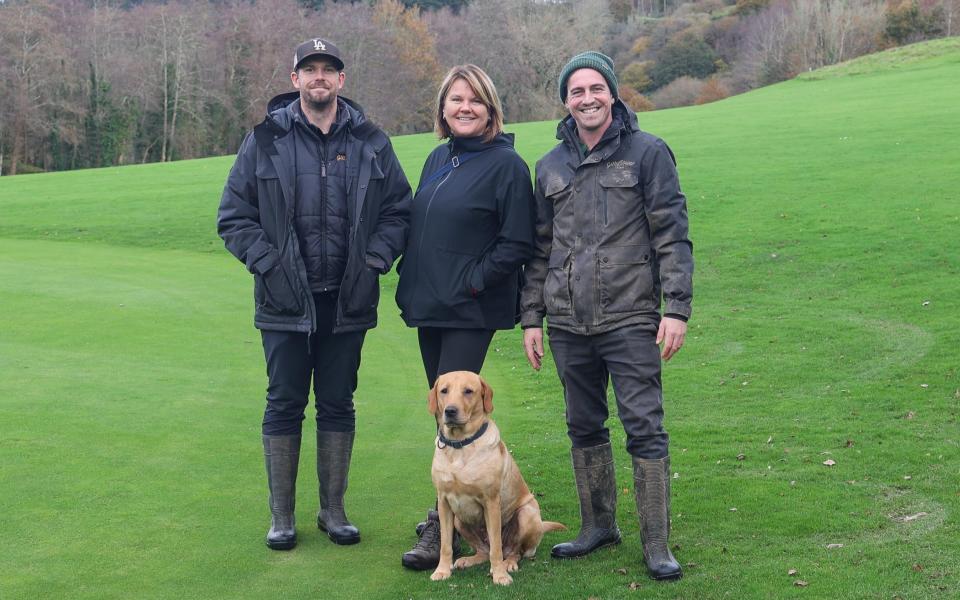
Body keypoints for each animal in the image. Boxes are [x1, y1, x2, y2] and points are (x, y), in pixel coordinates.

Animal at [426, 370, 564, 584]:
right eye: (444, 391)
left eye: (468, 391)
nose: (450, 411)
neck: (461, 445)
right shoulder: (444, 502)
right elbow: (445, 544)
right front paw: (442, 570)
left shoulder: (491, 502)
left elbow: (497, 548)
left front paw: (499, 574)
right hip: (459, 520)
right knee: (484, 551)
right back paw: (469, 559)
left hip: (527, 513)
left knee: (515, 551)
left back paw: (508, 563)